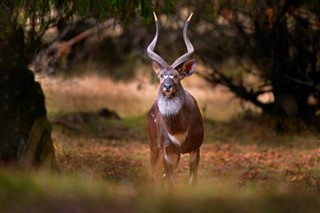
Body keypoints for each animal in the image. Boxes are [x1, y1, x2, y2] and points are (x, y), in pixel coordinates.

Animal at [146, 12, 204, 187]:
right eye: (161, 75)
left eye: (176, 76)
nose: (167, 86)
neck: (178, 131)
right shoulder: (167, 150)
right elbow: (169, 183)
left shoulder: (196, 148)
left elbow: (192, 181)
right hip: (153, 146)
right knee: (155, 175)